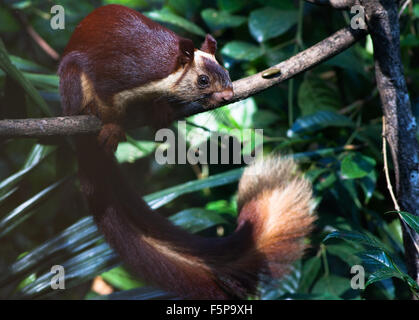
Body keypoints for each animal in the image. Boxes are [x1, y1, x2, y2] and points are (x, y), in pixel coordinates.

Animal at [58, 4, 316, 300]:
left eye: (227, 73)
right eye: (202, 80)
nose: (228, 95)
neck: (162, 73)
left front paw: (161, 110)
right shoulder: (116, 74)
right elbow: (108, 105)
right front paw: (112, 125)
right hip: (71, 80)